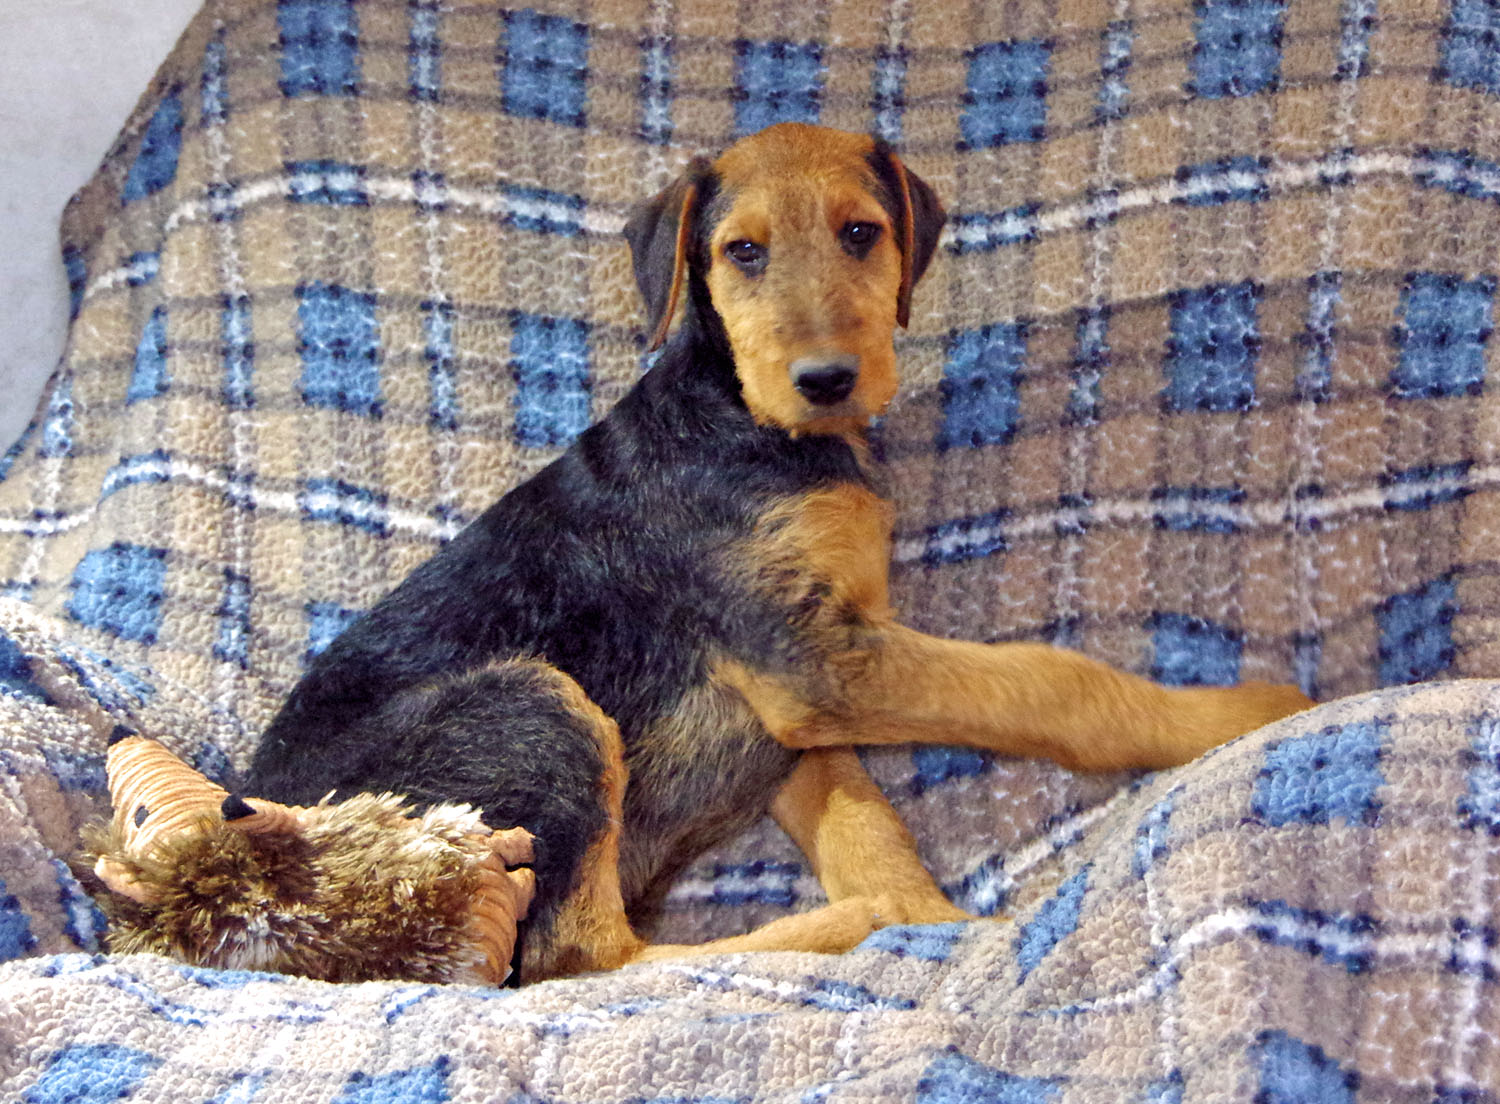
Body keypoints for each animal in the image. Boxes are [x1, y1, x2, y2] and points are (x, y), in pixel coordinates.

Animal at [246, 123, 1314, 984]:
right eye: (742, 251)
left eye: (861, 233)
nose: (827, 379)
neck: (750, 425)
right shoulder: (815, 659)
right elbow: (1051, 682)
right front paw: (1243, 713)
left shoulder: (800, 696)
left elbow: (865, 819)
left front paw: (932, 920)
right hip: (537, 710)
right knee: (584, 956)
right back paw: (842, 926)